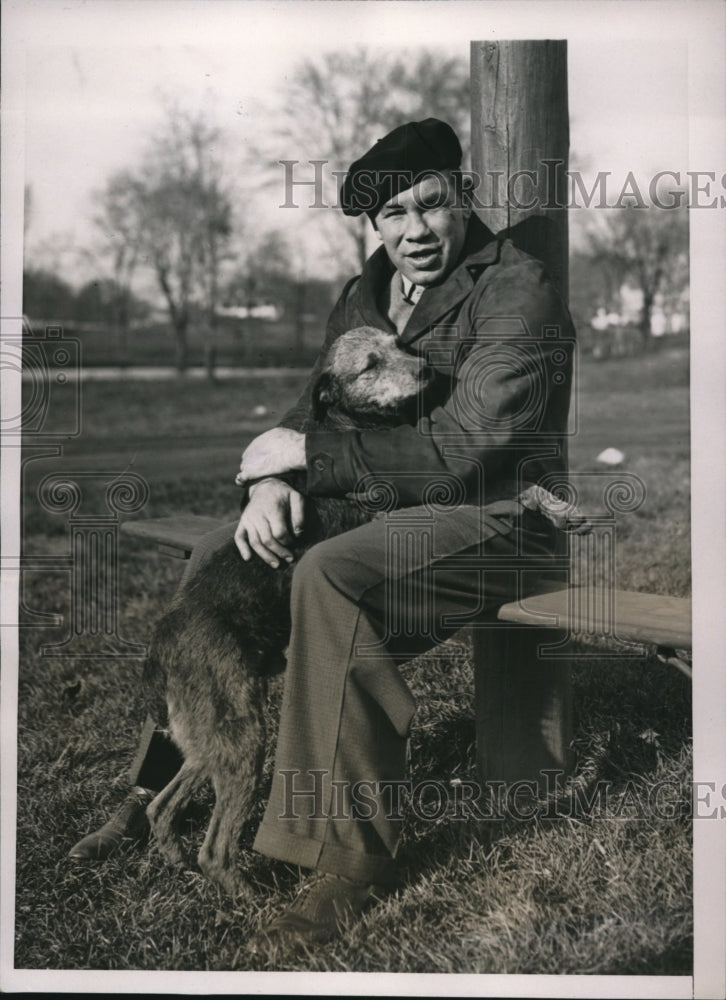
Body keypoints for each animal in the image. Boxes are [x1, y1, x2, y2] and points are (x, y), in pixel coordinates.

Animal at [144, 324, 592, 896]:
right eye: (369, 365)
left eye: (400, 343)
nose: (426, 371)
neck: (351, 422)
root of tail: (161, 648)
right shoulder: (415, 503)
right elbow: (495, 488)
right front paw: (547, 502)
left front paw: (557, 503)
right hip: (240, 736)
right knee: (216, 848)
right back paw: (245, 895)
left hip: (210, 739)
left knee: (161, 806)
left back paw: (175, 857)